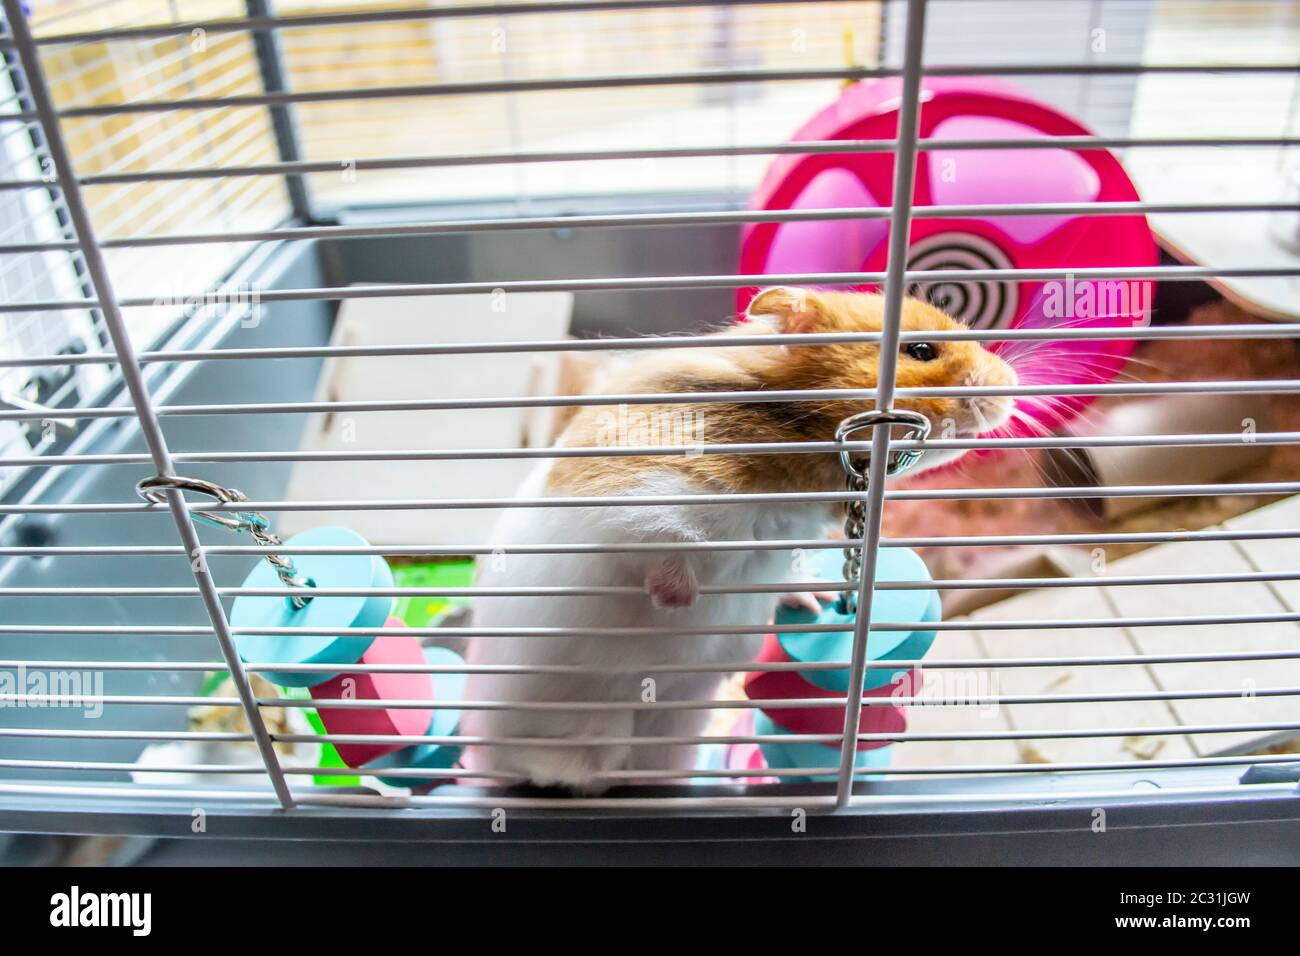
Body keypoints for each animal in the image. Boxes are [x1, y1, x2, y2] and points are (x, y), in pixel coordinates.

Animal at [462, 287, 1018, 793]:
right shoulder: (635, 498)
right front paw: (679, 600)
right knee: (550, 762)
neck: (797, 435)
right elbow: (661, 546)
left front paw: (811, 601)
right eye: (921, 351)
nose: (1013, 387)